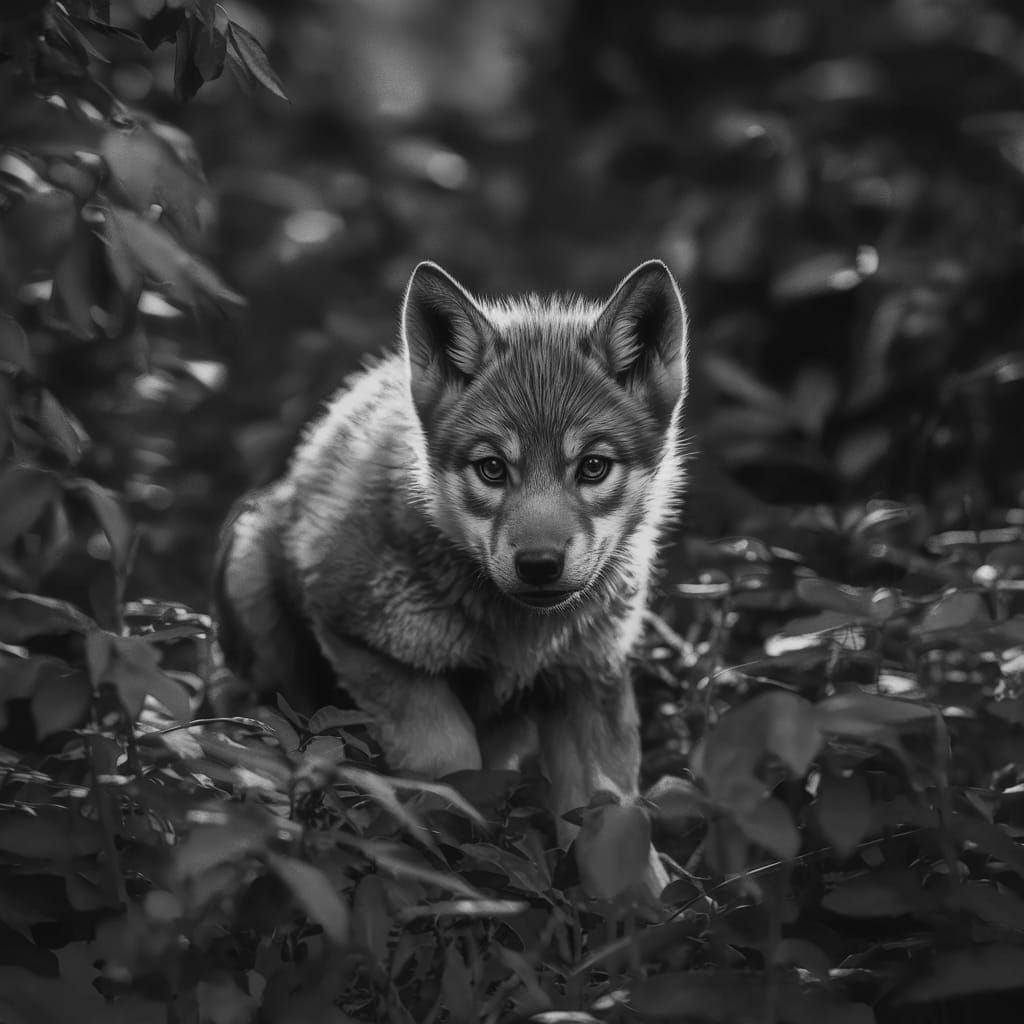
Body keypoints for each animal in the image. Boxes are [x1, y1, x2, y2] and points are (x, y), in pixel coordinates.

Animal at [214, 259, 688, 895]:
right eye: (491, 468)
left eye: (592, 467)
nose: (539, 564)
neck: (515, 635)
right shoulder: (362, 641)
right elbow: (450, 777)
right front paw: (456, 886)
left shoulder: (586, 680)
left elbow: (616, 832)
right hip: (256, 598)